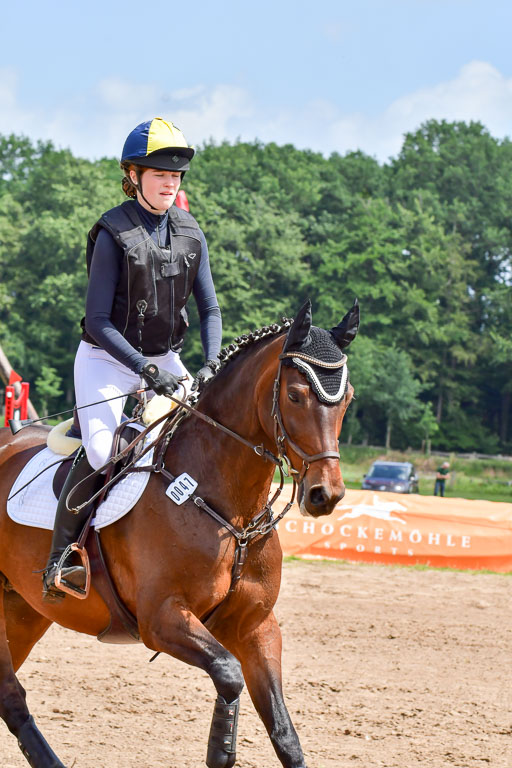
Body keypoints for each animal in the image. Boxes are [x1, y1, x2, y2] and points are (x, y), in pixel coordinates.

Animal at [0, 298, 359, 768]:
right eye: (295, 395)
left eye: (347, 399)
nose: (324, 494)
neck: (231, 512)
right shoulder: (162, 619)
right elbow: (228, 674)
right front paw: (221, 749)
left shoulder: (257, 627)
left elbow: (284, 733)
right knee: (10, 696)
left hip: (24, 609)